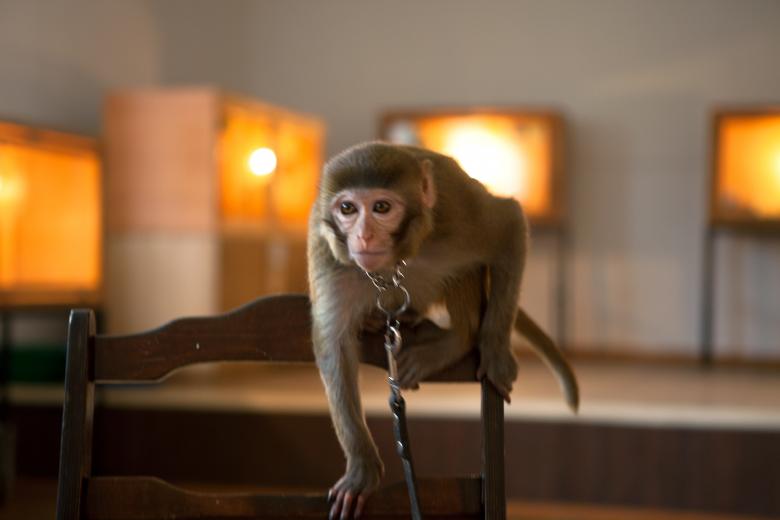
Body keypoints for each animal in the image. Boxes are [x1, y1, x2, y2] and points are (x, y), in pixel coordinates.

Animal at [307, 141, 578, 519]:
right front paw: (361, 467)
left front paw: (495, 350)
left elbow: (509, 223)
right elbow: (334, 347)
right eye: (347, 208)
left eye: (381, 207)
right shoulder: (329, 255)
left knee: (467, 269)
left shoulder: (457, 218)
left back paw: (453, 341)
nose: (363, 235)